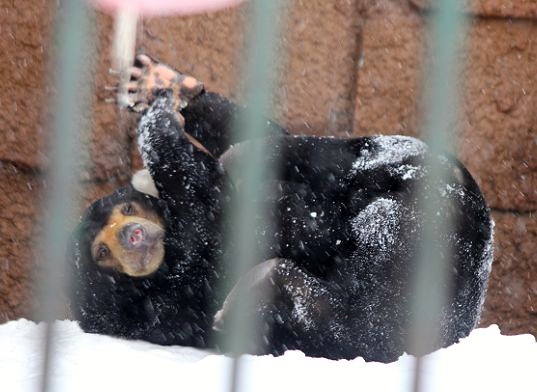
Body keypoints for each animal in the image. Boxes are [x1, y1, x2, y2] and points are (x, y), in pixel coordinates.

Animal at [68, 53, 494, 362]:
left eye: (125, 211)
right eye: (101, 251)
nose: (133, 235)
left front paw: (159, 84)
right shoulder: (167, 285)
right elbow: (215, 208)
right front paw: (160, 122)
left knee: (316, 152)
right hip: (402, 261)